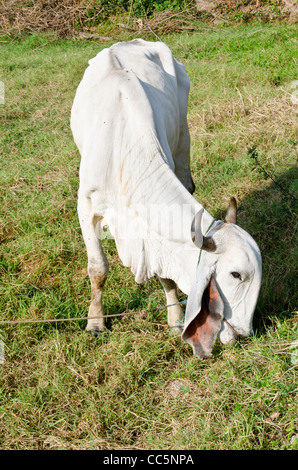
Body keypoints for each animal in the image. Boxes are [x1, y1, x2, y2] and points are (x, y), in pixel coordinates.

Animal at [70, 39, 260, 360]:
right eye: (235, 275)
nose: (244, 333)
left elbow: (166, 274)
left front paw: (174, 319)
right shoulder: (86, 206)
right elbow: (97, 269)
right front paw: (95, 321)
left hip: (183, 137)